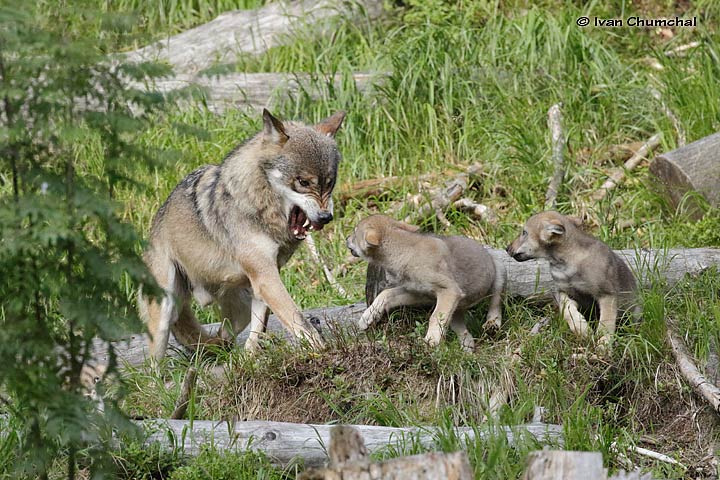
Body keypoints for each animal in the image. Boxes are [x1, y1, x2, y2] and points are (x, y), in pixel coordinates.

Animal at [140, 108, 346, 356]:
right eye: (303, 182)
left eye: (330, 183)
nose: (326, 217)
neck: (261, 208)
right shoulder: (266, 278)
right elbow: (299, 320)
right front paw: (323, 352)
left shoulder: (265, 279)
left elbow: (259, 331)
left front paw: (251, 358)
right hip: (164, 313)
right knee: (155, 361)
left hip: (240, 311)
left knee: (223, 337)